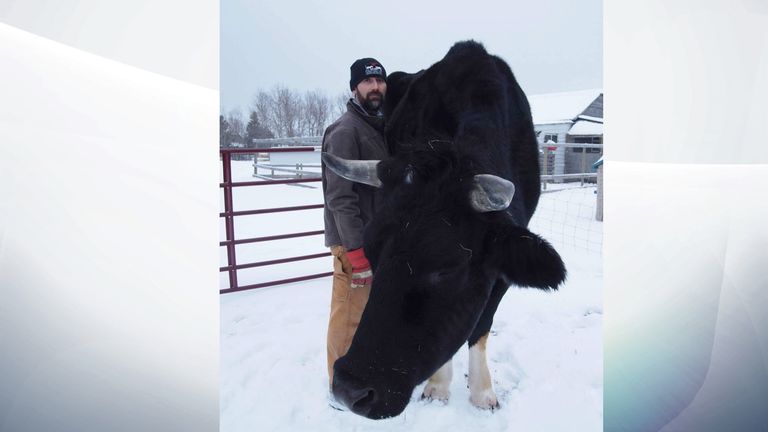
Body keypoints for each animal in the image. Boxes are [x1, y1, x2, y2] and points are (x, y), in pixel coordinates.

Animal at [320, 40, 568, 418]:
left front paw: (482, 391)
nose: (350, 389)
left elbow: (480, 326)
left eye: (447, 267)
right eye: (372, 252)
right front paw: (438, 386)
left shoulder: (502, 264)